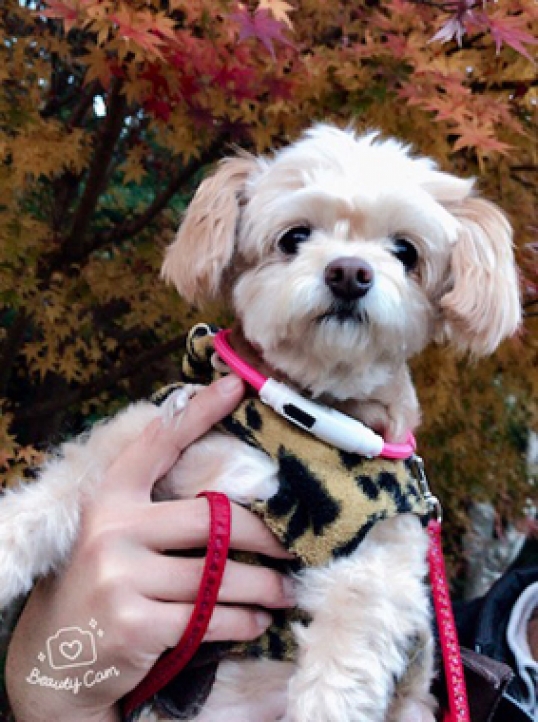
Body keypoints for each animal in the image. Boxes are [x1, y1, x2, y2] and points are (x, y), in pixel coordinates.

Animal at [0, 124, 521, 721]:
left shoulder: (374, 563)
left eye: (405, 251)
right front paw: (6, 550)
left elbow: (341, 670)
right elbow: (60, 486)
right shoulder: (143, 432)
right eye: (294, 237)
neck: (301, 414)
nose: (349, 272)